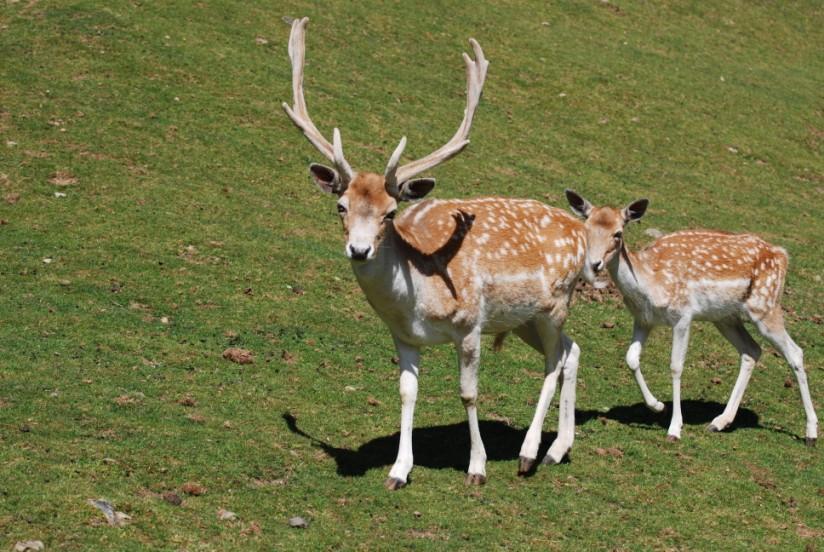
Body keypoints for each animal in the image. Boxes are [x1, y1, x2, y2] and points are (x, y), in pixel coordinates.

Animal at [282, 17, 589, 489]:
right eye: (341, 206)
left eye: (390, 212)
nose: (359, 249)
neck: (418, 298)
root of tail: (582, 231)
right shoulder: (403, 336)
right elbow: (407, 392)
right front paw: (398, 470)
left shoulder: (469, 325)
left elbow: (468, 393)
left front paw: (477, 467)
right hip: (525, 318)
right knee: (571, 352)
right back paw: (558, 449)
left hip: (556, 303)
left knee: (554, 363)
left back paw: (527, 453)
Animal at [564, 189, 818, 446]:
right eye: (586, 228)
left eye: (618, 233)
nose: (594, 264)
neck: (650, 283)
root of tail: (782, 256)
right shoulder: (643, 319)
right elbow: (631, 358)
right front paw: (658, 406)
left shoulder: (683, 315)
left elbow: (676, 366)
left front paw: (674, 428)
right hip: (725, 318)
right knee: (751, 351)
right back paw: (719, 422)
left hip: (766, 306)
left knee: (795, 352)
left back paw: (811, 433)